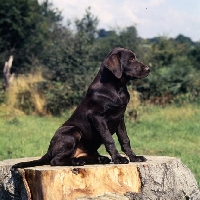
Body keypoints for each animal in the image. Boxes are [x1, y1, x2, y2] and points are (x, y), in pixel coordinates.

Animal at [12, 46, 150, 167]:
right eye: (131, 59)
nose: (148, 69)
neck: (117, 88)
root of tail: (49, 150)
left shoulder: (120, 117)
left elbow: (125, 139)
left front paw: (134, 157)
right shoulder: (97, 117)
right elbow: (109, 139)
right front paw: (118, 158)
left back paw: (97, 159)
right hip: (73, 131)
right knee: (55, 160)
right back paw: (77, 162)